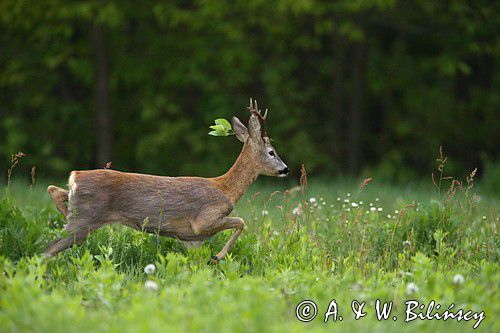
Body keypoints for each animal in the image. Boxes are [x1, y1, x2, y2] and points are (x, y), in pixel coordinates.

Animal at [47, 98, 290, 260]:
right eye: (271, 152)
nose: (285, 169)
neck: (226, 189)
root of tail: (75, 177)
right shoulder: (204, 221)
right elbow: (241, 222)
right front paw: (218, 257)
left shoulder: (190, 240)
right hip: (84, 220)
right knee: (48, 249)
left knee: (53, 191)